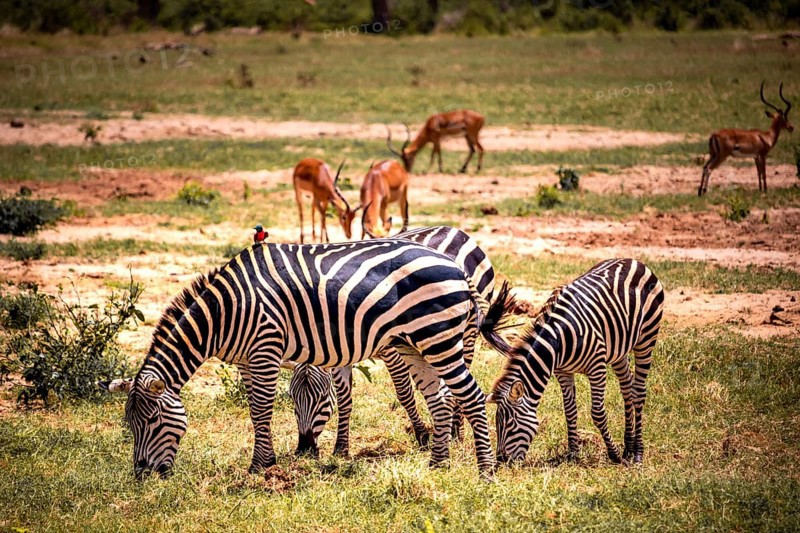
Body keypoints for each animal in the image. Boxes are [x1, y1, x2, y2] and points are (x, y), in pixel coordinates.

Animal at [99, 239, 497, 478]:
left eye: (152, 422)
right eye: (130, 424)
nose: (142, 475)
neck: (226, 312)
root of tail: (456, 265)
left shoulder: (265, 348)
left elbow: (262, 409)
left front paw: (260, 467)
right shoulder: (246, 360)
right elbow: (253, 410)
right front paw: (266, 461)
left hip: (439, 337)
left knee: (471, 396)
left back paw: (486, 471)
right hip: (413, 344)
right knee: (440, 399)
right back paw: (438, 464)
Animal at [287, 226, 512, 458]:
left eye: (322, 397)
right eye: (292, 397)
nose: (304, 450)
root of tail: (453, 229)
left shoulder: (391, 351)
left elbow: (404, 393)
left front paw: (422, 436)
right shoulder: (341, 350)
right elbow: (344, 398)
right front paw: (341, 447)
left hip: (465, 332)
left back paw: (456, 432)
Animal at [487, 258, 664, 465]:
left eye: (511, 424)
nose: (501, 461)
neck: (558, 340)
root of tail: (634, 261)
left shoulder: (597, 368)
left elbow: (597, 413)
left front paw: (614, 454)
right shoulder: (562, 371)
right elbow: (569, 410)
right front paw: (573, 454)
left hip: (647, 338)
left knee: (639, 393)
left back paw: (637, 453)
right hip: (619, 350)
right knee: (628, 390)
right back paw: (628, 446)